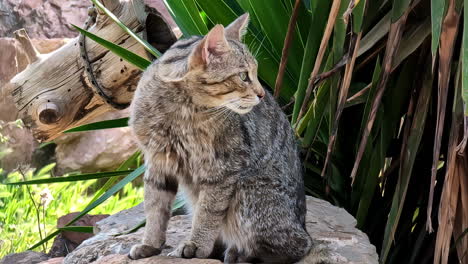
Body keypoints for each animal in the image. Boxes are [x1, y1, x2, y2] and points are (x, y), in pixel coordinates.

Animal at [128, 13, 312, 262]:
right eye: (243, 76)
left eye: (256, 73)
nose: (262, 94)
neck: (177, 110)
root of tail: (303, 226)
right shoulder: (158, 161)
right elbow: (155, 208)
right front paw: (150, 244)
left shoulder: (223, 168)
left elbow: (208, 212)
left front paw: (196, 245)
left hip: (248, 190)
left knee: (295, 247)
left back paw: (238, 253)